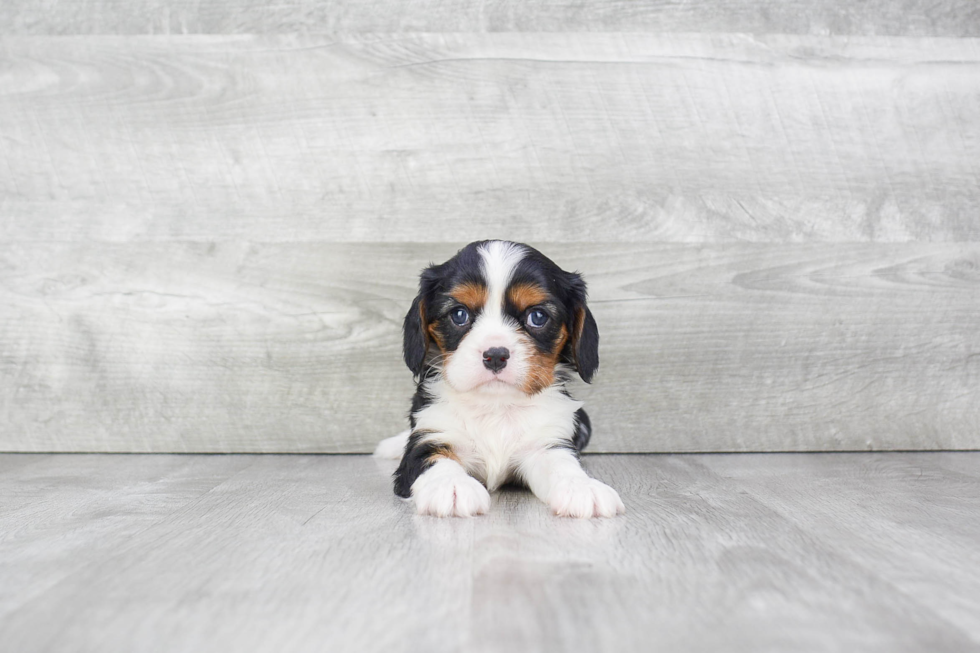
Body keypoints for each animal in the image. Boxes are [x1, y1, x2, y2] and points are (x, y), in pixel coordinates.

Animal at [376, 239, 628, 520]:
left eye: (537, 317)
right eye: (459, 314)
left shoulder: (545, 444)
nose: (495, 355)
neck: (496, 405)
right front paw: (452, 486)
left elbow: (562, 464)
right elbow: (434, 459)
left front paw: (582, 487)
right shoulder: (430, 436)